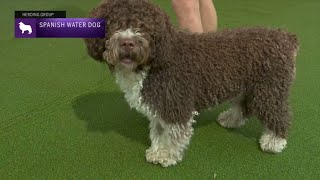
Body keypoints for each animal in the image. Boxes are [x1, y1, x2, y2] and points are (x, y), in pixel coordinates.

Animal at [84, 0, 298, 167]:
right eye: (114, 24)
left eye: (144, 26)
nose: (128, 43)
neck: (158, 59)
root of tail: (286, 37)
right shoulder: (160, 105)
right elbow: (158, 131)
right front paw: (157, 150)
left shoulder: (174, 104)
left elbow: (171, 135)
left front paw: (165, 155)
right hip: (245, 86)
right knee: (243, 107)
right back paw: (230, 119)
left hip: (270, 89)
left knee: (278, 114)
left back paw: (274, 141)